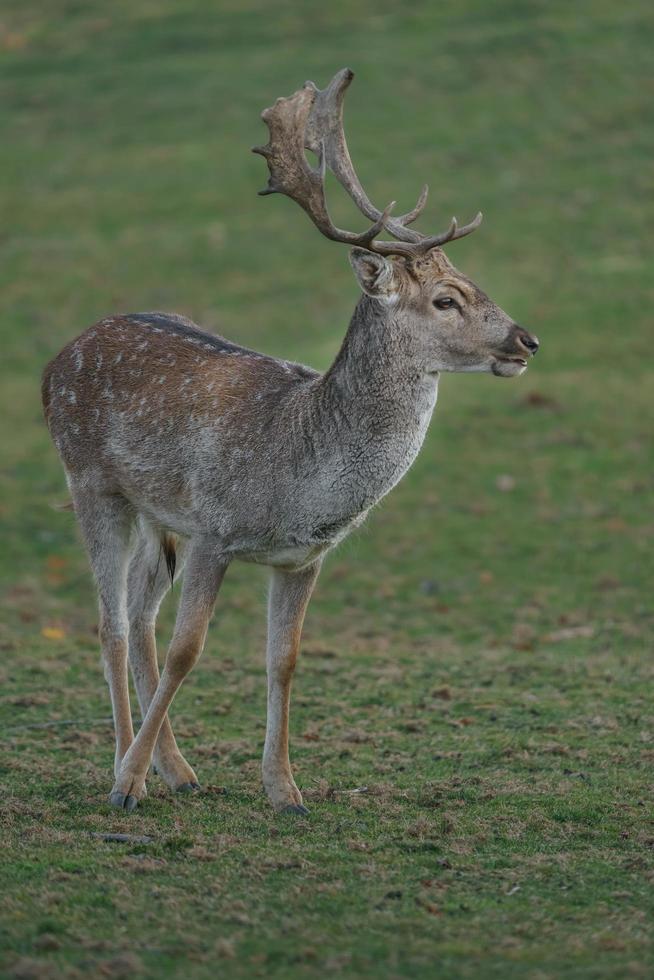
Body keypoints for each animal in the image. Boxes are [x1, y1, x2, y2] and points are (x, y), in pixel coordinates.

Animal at [43, 72, 540, 816]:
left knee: (139, 615)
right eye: (446, 300)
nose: (526, 341)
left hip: (161, 518)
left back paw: (174, 769)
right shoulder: (216, 529)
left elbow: (284, 659)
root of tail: (54, 363)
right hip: (92, 484)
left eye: (475, 283)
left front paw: (285, 789)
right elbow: (191, 650)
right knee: (113, 624)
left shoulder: (304, 557)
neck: (300, 473)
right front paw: (126, 787)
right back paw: (127, 768)